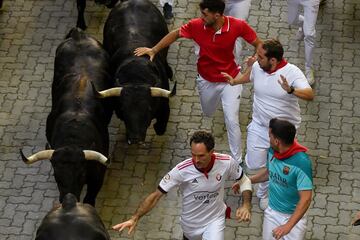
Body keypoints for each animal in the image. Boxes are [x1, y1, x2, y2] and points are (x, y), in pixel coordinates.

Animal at [20, 28, 112, 206]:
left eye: (81, 174)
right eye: (57, 175)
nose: (68, 198)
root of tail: (78, 35)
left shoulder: (98, 176)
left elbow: (90, 199)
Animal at [94, 0, 176, 143]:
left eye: (148, 109)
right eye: (124, 110)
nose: (135, 138)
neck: (136, 76)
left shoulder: (164, 108)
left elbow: (160, 128)